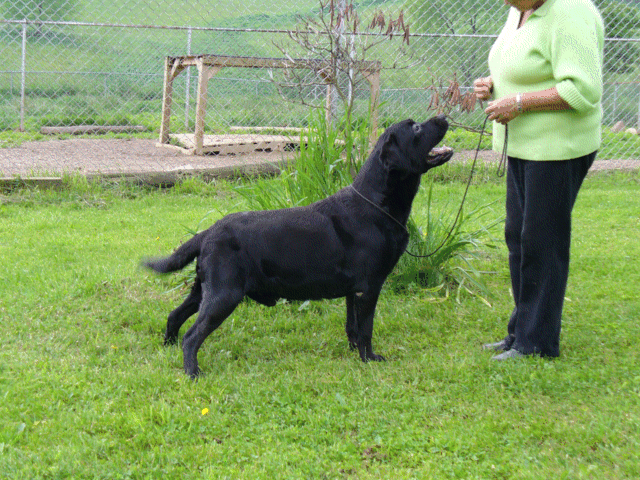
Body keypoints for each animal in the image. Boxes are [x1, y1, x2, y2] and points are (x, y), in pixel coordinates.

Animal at [145, 114, 456, 376]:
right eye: (416, 128)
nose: (444, 116)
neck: (376, 204)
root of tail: (208, 231)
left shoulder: (352, 291)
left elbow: (353, 327)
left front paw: (355, 353)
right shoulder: (369, 287)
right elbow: (366, 329)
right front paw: (369, 359)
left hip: (204, 289)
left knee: (174, 316)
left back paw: (168, 348)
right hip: (225, 294)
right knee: (191, 336)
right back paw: (192, 372)